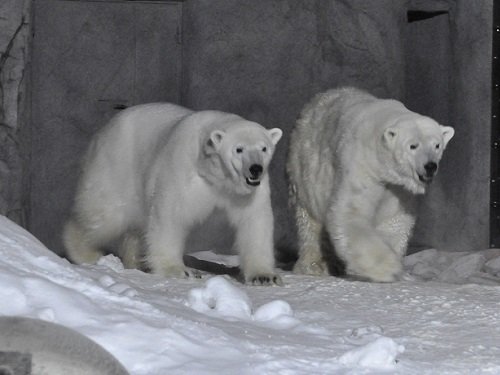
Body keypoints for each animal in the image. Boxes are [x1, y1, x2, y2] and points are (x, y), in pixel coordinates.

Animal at [63, 103, 284, 284]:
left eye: (264, 148)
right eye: (239, 149)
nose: (255, 169)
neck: (214, 173)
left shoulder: (248, 193)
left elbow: (255, 222)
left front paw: (264, 276)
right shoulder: (183, 170)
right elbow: (170, 216)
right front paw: (178, 270)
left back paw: (136, 262)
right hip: (116, 166)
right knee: (104, 215)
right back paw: (84, 253)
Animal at [288, 87, 456, 282]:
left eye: (437, 145)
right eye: (413, 146)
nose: (430, 166)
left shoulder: (399, 189)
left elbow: (394, 220)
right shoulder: (362, 164)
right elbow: (350, 212)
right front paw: (388, 268)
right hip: (304, 172)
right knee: (309, 222)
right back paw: (314, 266)